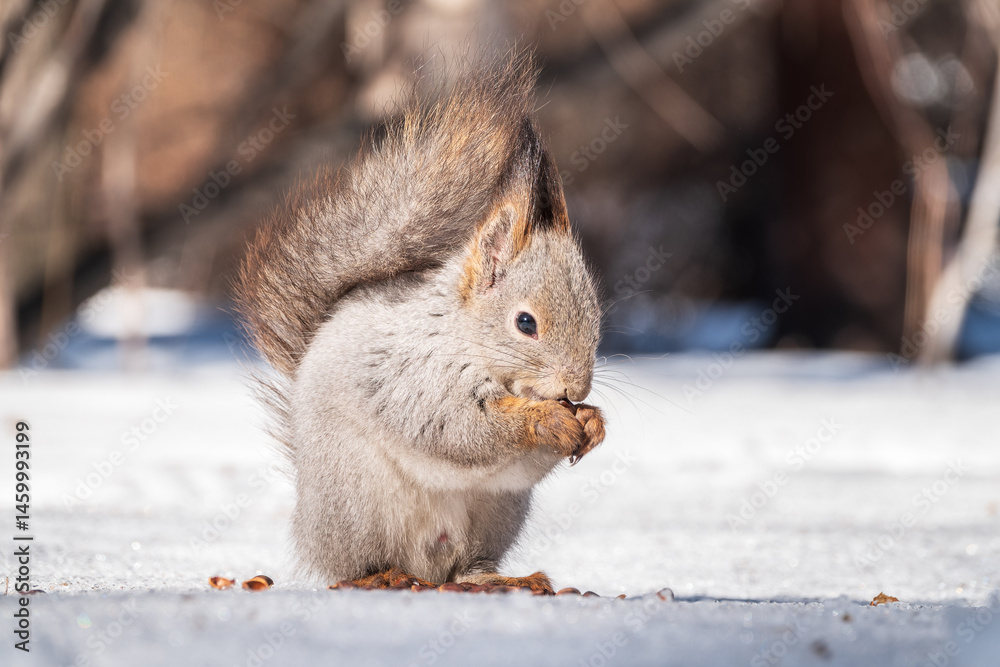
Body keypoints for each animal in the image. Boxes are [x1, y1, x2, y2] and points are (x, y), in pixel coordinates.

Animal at [234, 52, 606, 594]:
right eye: (525, 323)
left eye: (597, 318)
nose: (576, 389)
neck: (466, 337)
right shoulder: (412, 374)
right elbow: (455, 428)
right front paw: (545, 419)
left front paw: (592, 421)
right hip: (360, 503)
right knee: (355, 567)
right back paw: (380, 577)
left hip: (494, 516)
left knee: (467, 564)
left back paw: (500, 579)